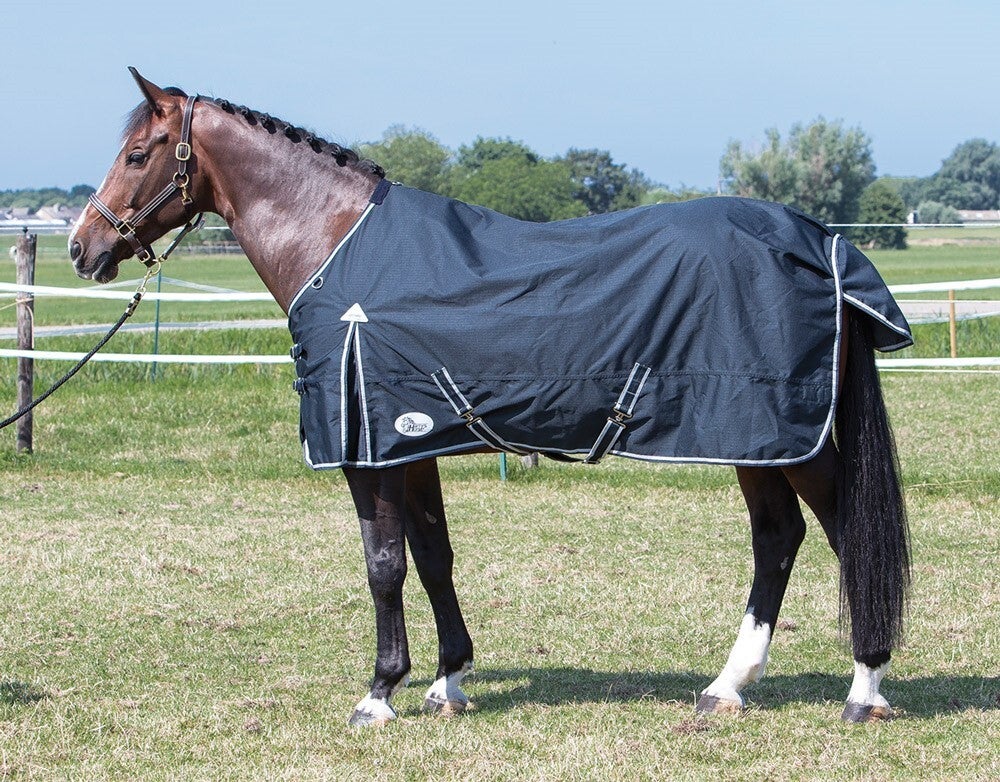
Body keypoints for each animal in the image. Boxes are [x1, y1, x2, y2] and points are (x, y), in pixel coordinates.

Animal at [69, 68, 912, 726]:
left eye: (137, 154)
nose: (84, 247)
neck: (338, 245)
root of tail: (823, 241)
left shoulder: (368, 452)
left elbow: (383, 564)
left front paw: (379, 693)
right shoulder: (413, 444)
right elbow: (434, 556)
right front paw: (449, 681)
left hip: (778, 434)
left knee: (841, 531)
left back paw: (864, 688)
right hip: (753, 440)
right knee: (779, 539)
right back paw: (727, 687)